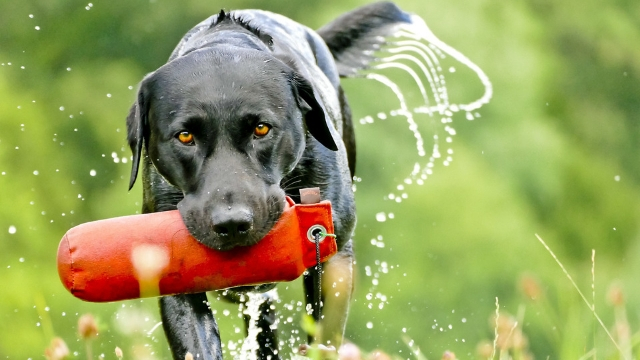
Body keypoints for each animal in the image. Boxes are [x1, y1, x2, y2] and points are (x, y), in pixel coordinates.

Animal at [127, 1, 412, 358]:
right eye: (185, 136)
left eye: (261, 129)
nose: (232, 223)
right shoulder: (173, 278)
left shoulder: (334, 257)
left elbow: (323, 337)